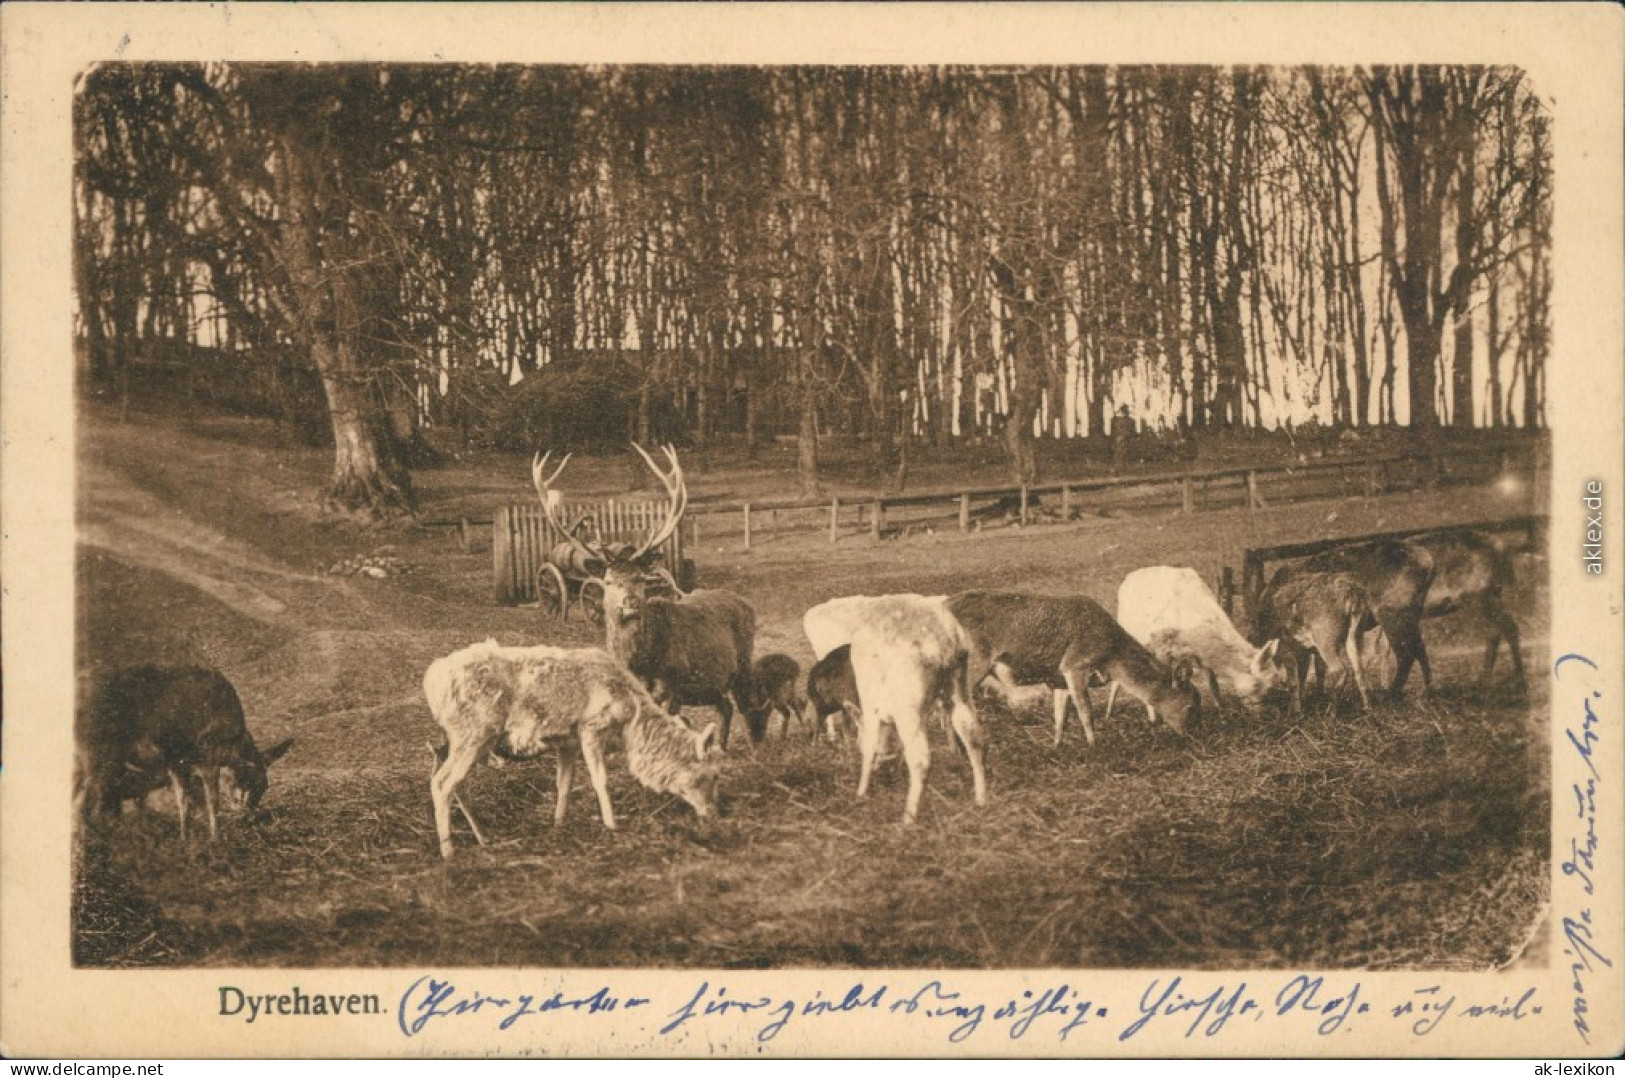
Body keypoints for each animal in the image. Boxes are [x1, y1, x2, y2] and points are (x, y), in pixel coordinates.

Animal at [425, 640, 718, 858]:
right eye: (710, 775)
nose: (712, 814)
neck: (630, 723)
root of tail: (431, 682)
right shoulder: (591, 729)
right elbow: (601, 781)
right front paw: (612, 825)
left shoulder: (567, 743)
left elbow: (564, 784)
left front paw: (558, 824)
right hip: (474, 733)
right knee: (442, 782)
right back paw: (448, 851)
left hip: (459, 739)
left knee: (454, 781)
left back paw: (483, 837)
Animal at [533, 445, 760, 751]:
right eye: (607, 581)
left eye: (640, 579)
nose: (629, 602)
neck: (639, 665)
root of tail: (747, 604)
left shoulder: (672, 688)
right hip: (709, 685)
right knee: (725, 707)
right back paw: (721, 748)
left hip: (743, 664)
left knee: (746, 706)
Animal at [949, 591, 1202, 751]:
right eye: (1191, 704)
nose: (1193, 736)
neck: (1110, 657)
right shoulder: (1074, 665)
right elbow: (1086, 712)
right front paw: (1094, 746)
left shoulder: (1059, 679)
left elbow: (1061, 717)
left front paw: (1057, 746)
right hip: (972, 664)